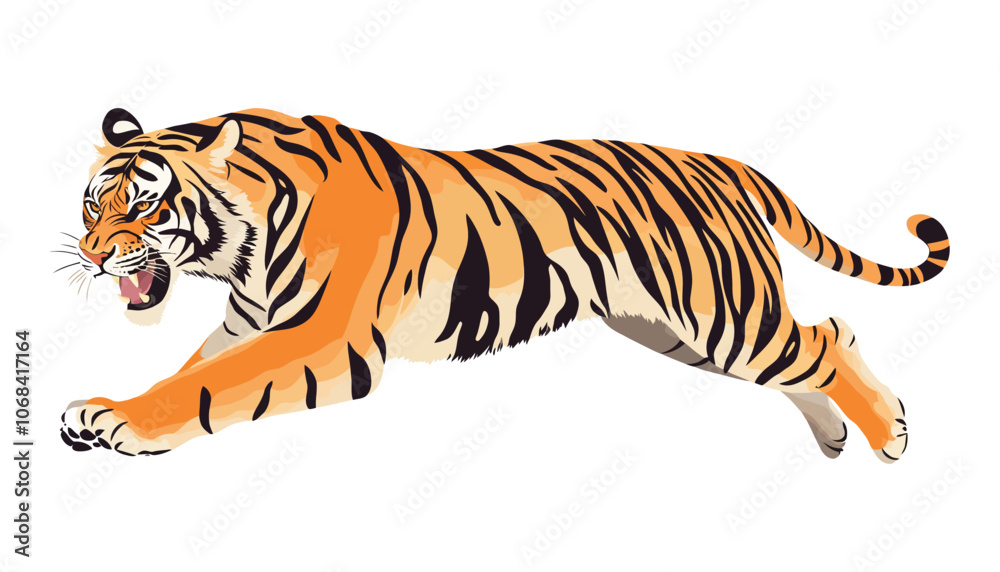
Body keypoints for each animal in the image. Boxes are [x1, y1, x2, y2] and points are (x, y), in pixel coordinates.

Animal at [59, 107, 949, 462]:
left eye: (143, 204)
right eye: (92, 203)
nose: (94, 257)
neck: (240, 249)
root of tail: (719, 161)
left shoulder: (326, 338)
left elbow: (206, 387)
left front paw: (117, 421)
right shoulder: (248, 323)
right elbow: (195, 370)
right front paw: (97, 411)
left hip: (722, 314)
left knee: (827, 336)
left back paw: (889, 433)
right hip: (681, 332)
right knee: (806, 352)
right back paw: (835, 437)